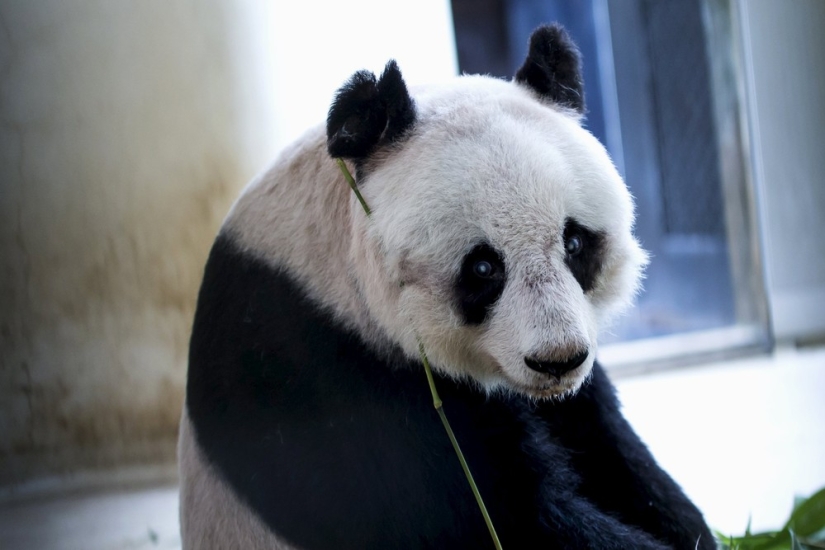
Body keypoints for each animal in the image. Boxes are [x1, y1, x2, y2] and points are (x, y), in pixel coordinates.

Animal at [179, 24, 715, 550]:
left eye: (575, 241)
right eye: (483, 268)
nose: (557, 360)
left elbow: (608, 446)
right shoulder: (319, 368)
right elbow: (500, 518)